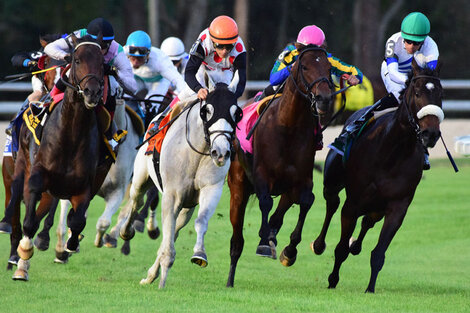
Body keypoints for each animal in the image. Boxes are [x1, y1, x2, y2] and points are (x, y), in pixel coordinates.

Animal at [7, 35, 111, 280]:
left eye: (102, 63)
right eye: (77, 60)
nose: (92, 92)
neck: (70, 134)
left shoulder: (84, 186)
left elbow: (78, 219)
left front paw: (70, 245)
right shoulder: (37, 178)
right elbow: (29, 222)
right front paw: (24, 255)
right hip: (21, 167)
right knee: (20, 207)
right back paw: (17, 256)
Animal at [54, 99, 142, 260]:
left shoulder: (117, 191)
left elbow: (103, 222)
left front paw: (100, 240)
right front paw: (63, 248)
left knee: (132, 206)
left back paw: (113, 237)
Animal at [121, 83, 241, 288]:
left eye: (236, 113)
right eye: (207, 111)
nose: (221, 152)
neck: (197, 152)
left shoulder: (211, 189)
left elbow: (200, 222)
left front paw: (199, 254)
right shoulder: (172, 195)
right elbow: (167, 230)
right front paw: (163, 278)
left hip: (187, 206)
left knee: (175, 228)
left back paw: (152, 274)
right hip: (141, 179)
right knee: (136, 202)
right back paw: (125, 232)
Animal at [227, 45, 334, 286]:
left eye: (328, 67)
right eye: (305, 67)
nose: (324, 98)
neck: (288, 127)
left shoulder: (302, 179)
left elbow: (306, 201)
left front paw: (289, 250)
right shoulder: (261, 175)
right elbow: (266, 202)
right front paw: (264, 244)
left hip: (287, 188)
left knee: (279, 214)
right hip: (238, 187)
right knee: (237, 239)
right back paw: (230, 278)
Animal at [312, 59, 444, 292]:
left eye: (440, 94)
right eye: (417, 92)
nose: (431, 134)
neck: (392, 151)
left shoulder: (398, 207)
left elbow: (379, 253)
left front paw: (370, 288)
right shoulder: (352, 203)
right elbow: (340, 248)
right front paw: (332, 280)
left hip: (378, 206)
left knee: (368, 221)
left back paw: (356, 245)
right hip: (333, 183)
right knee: (332, 203)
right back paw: (319, 244)